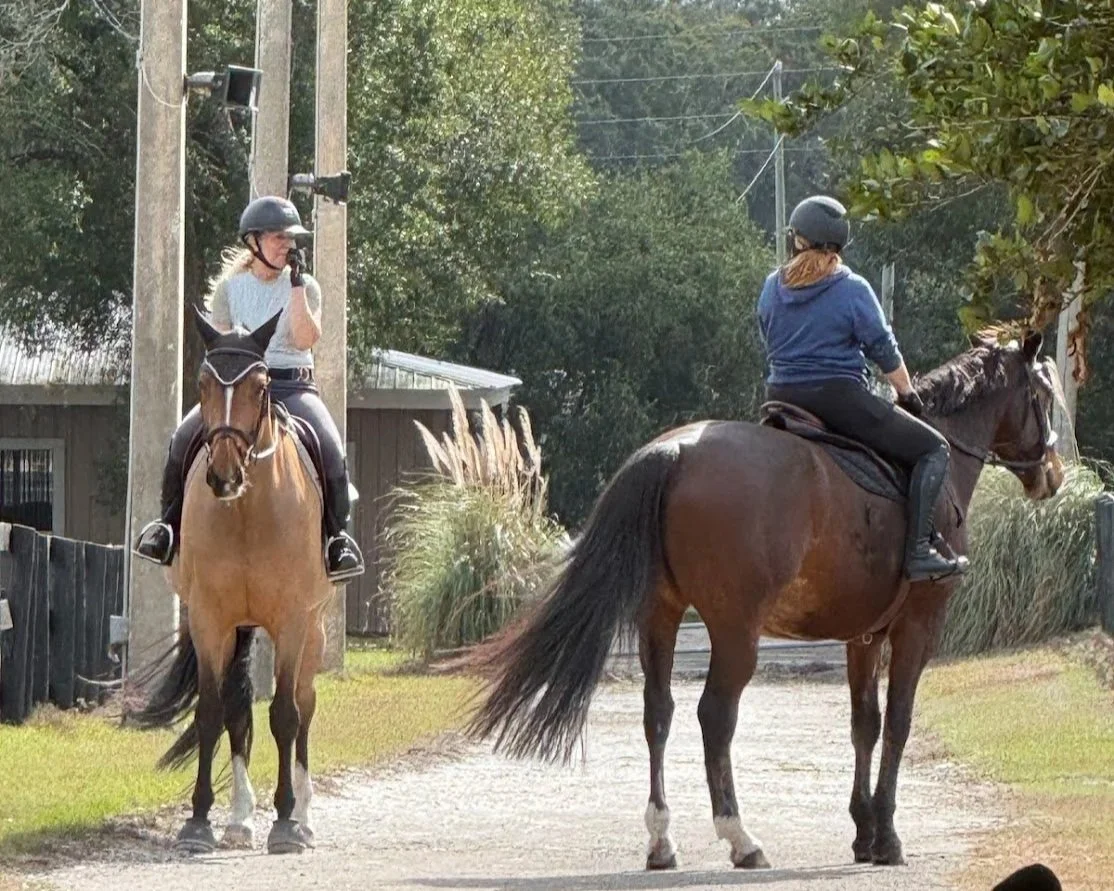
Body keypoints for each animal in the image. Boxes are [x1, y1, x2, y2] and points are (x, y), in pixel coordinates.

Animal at [131, 307, 334, 855]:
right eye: (203, 382)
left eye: (260, 384)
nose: (224, 475)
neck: (247, 511)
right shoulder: (210, 619)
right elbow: (212, 713)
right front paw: (199, 822)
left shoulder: (290, 621)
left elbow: (285, 714)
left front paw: (285, 823)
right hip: (241, 629)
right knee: (239, 708)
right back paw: (240, 819)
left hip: (314, 627)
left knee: (306, 706)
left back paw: (304, 817)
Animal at [464, 328, 1064, 870]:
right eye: (1042, 393)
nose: (1053, 476)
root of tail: (674, 451)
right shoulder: (919, 624)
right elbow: (897, 722)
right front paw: (888, 839)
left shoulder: (863, 637)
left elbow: (864, 725)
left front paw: (864, 833)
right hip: (735, 631)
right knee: (715, 716)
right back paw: (741, 839)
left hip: (658, 616)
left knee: (658, 712)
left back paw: (661, 842)